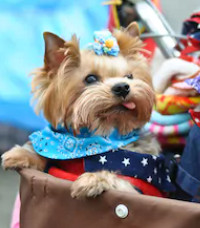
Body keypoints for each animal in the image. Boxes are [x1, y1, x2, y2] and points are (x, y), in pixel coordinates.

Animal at [1, 22, 162, 199]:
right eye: (90, 78)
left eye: (129, 76)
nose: (122, 87)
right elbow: (45, 156)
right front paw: (21, 154)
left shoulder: (140, 187)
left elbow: (120, 180)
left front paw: (94, 179)